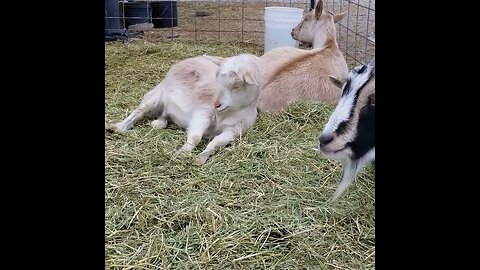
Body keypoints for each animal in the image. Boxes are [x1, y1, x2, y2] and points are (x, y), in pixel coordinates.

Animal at [107, 53, 262, 165]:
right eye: (217, 79)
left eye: (237, 85)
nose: (216, 104)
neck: (227, 113)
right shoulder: (204, 113)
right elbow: (195, 137)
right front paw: (183, 152)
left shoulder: (234, 130)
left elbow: (216, 143)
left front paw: (200, 159)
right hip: (155, 96)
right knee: (137, 112)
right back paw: (117, 127)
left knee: (163, 116)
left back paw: (158, 122)